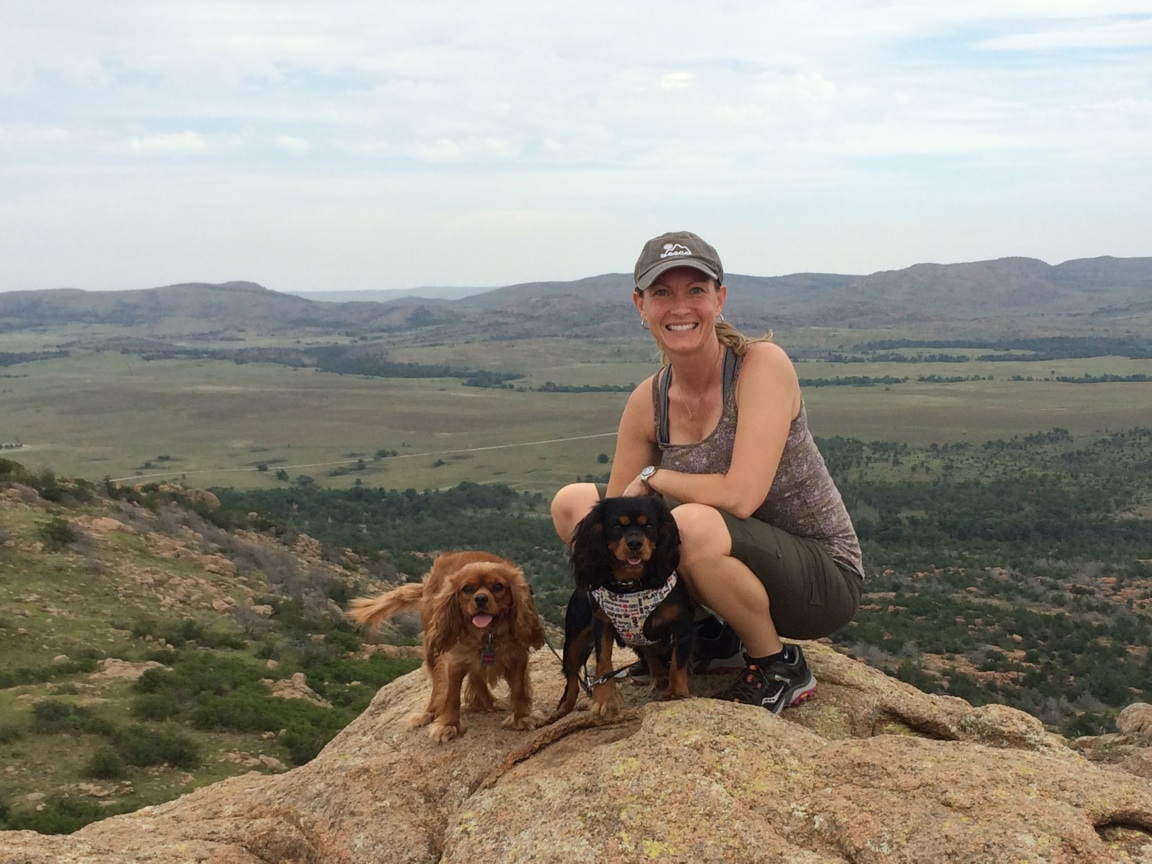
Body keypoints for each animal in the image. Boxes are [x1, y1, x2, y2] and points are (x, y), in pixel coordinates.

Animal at [347, 555, 546, 746]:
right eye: (467, 589)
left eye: (498, 586)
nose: (481, 599)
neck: (487, 635)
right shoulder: (453, 662)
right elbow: (451, 696)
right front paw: (448, 725)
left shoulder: (518, 656)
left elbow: (519, 689)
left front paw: (522, 717)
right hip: (433, 650)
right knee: (439, 687)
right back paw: (428, 714)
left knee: (476, 677)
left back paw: (489, 702)